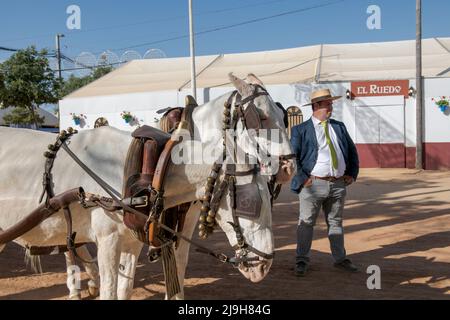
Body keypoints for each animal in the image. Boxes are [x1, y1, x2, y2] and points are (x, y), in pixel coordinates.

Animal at [0, 74, 296, 298]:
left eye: (283, 115)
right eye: (260, 117)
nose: (287, 168)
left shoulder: (137, 239)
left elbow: (135, 285)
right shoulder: (109, 241)